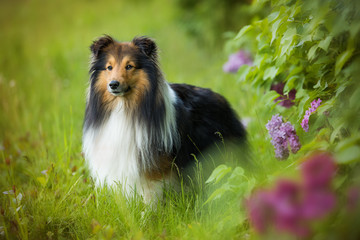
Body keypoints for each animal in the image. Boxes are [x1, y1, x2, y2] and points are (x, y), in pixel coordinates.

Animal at [82, 35, 245, 201]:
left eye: (129, 66)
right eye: (109, 67)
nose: (113, 84)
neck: (125, 107)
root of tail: (222, 99)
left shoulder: (154, 164)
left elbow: (150, 191)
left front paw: (148, 208)